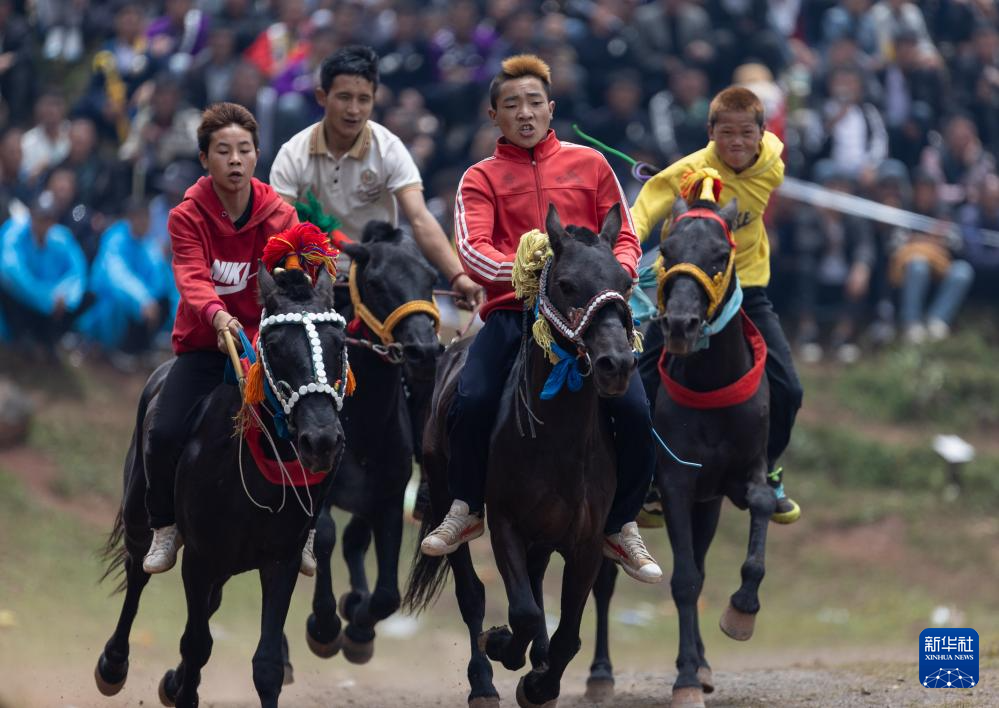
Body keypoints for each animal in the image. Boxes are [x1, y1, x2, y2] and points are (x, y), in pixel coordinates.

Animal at [96, 266, 348, 708]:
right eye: (274, 345)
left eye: (339, 342)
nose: (321, 440)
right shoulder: (200, 559)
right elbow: (197, 644)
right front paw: (182, 688)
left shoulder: (280, 559)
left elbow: (266, 664)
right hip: (139, 516)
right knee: (137, 573)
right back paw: (114, 664)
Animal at [300, 221, 442, 664]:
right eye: (377, 281)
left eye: (430, 279)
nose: (423, 351)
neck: (361, 422)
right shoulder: (320, 492)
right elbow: (324, 537)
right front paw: (325, 625)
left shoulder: (389, 497)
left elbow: (387, 595)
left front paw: (358, 624)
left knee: (355, 540)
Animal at [404, 203, 632, 708]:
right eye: (566, 284)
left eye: (625, 283)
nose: (617, 364)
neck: (559, 441)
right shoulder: (506, 521)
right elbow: (523, 611)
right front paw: (505, 649)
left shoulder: (586, 541)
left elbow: (567, 634)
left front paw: (540, 681)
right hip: (447, 494)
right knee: (472, 593)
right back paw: (484, 682)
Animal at [584, 195, 772, 708]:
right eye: (667, 249)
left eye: (721, 255)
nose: (682, 325)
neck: (711, 388)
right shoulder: (674, 484)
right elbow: (685, 580)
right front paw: (685, 679)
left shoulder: (737, 475)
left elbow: (761, 505)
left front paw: (741, 611)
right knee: (603, 585)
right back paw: (600, 674)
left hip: (707, 506)